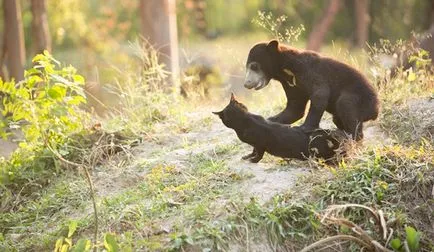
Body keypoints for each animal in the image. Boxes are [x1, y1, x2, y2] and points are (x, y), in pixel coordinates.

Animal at [212, 93, 348, 162]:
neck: (246, 119)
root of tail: (326, 133)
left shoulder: (260, 144)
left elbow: (259, 153)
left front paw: (254, 160)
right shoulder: (255, 145)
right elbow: (253, 151)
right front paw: (248, 156)